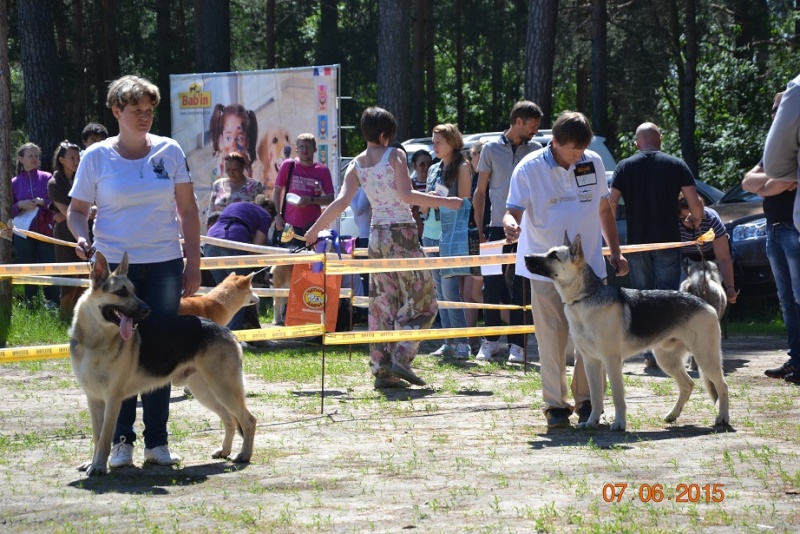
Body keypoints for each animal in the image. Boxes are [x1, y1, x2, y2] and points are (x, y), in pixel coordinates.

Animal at [70, 253, 256, 480]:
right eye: (121, 293)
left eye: (133, 291)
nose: (147, 310)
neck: (95, 341)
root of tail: (226, 330)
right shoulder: (94, 399)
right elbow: (97, 437)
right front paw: (93, 462)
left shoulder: (113, 399)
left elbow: (105, 437)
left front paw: (98, 467)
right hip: (206, 393)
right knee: (229, 419)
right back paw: (225, 451)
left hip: (224, 390)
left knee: (248, 420)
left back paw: (243, 455)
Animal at [524, 237, 732, 434]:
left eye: (554, 256)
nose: (526, 257)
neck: (585, 298)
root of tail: (705, 304)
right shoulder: (591, 362)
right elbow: (596, 398)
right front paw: (591, 422)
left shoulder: (612, 362)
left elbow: (617, 397)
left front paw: (619, 424)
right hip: (667, 361)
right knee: (688, 385)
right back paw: (673, 415)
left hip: (705, 358)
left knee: (722, 386)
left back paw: (722, 418)